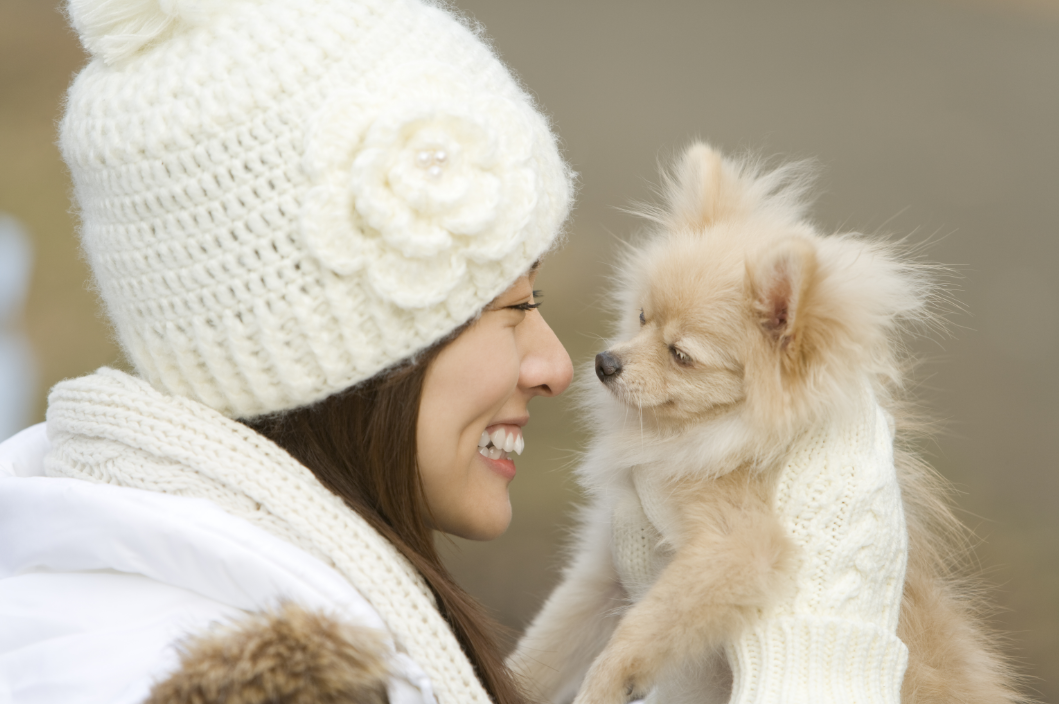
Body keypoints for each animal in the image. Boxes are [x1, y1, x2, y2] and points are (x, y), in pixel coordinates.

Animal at [508, 143, 1020, 702]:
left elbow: (647, 625)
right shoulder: (604, 567)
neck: (698, 432)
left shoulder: (739, 548)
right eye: (642, 318)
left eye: (681, 356)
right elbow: (547, 645)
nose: (605, 362)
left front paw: (604, 682)